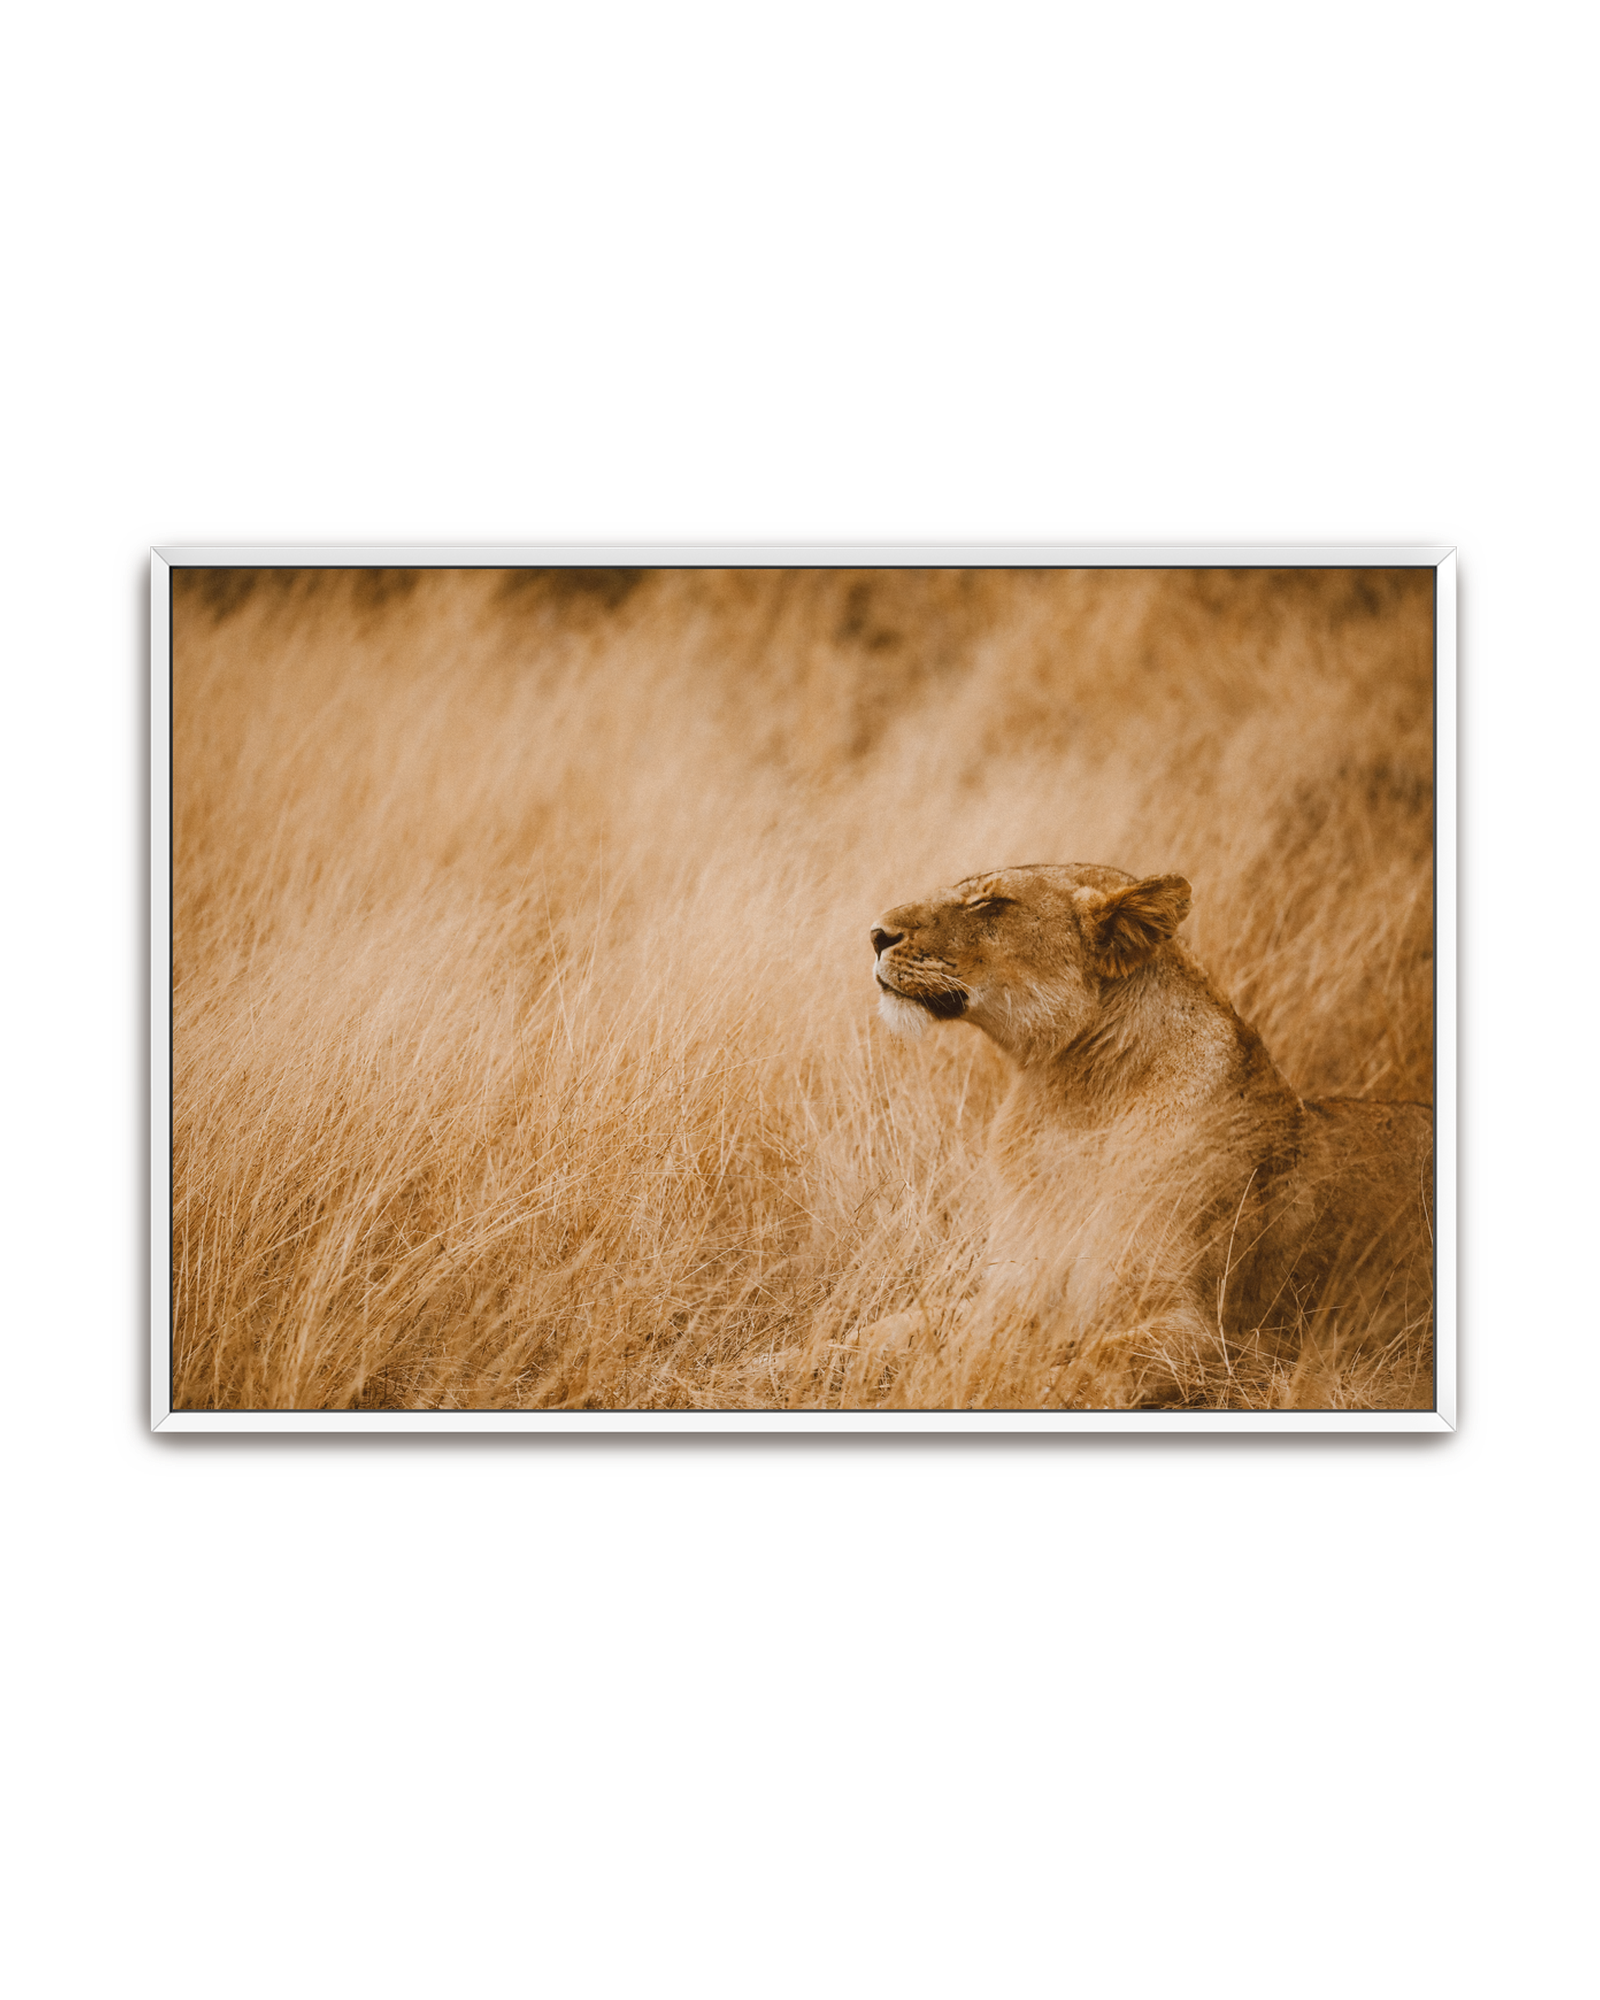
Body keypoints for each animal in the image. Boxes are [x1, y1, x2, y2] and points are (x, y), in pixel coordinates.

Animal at [869, 863, 1432, 1408]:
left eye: (990, 903)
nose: (876, 934)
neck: (1070, 1099)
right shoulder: (1014, 1289)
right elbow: (909, 1322)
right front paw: (855, 1354)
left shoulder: (1220, 1339)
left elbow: (1085, 1371)